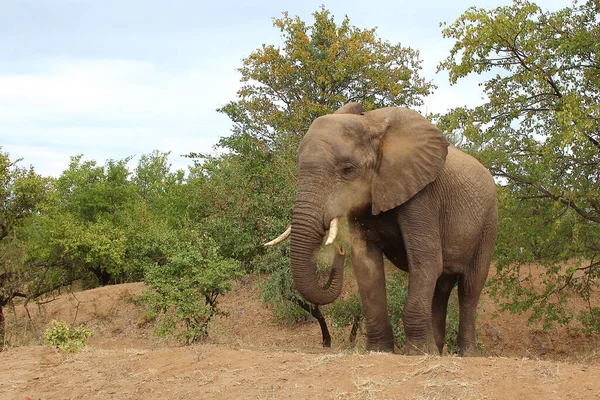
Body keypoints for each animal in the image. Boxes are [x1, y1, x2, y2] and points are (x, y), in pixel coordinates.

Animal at [276, 103, 496, 356]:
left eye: (348, 169)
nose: (340, 249)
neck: (371, 125)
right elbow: (366, 264)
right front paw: (380, 350)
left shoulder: (422, 195)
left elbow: (427, 261)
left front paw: (417, 353)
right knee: (441, 288)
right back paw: (438, 351)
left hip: (489, 221)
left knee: (470, 287)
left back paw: (465, 354)